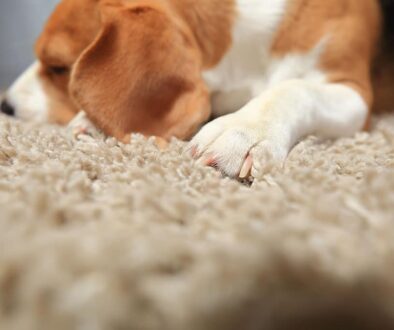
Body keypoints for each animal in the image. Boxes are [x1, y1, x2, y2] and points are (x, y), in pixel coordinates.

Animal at [1, 0, 392, 179]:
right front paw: (95, 122)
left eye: (58, 68)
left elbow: (294, 88)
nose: (6, 106)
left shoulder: (354, 92)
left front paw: (245, 130)